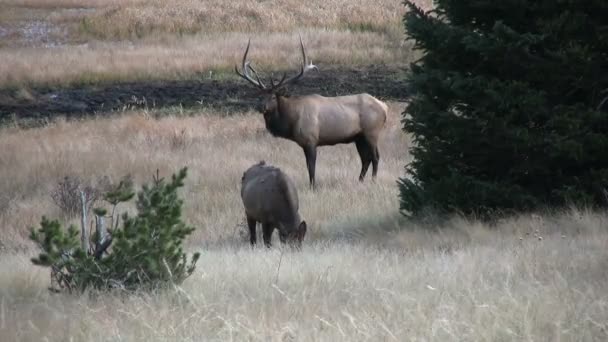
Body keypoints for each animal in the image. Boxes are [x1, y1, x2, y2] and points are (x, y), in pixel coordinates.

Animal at [235, 36, 388, 190]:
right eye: (260, 95)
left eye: (273, 97)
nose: (262, 107)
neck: (292, 120)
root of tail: (384, 107)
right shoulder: (304, 143)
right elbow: (308, 166)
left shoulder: (311, 140)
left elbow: (312, 167)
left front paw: (313, 187)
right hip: (359, 137)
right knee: (365, 159)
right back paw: (360, 181)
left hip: (371, 132)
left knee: (375, 157)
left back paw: (373, 181)